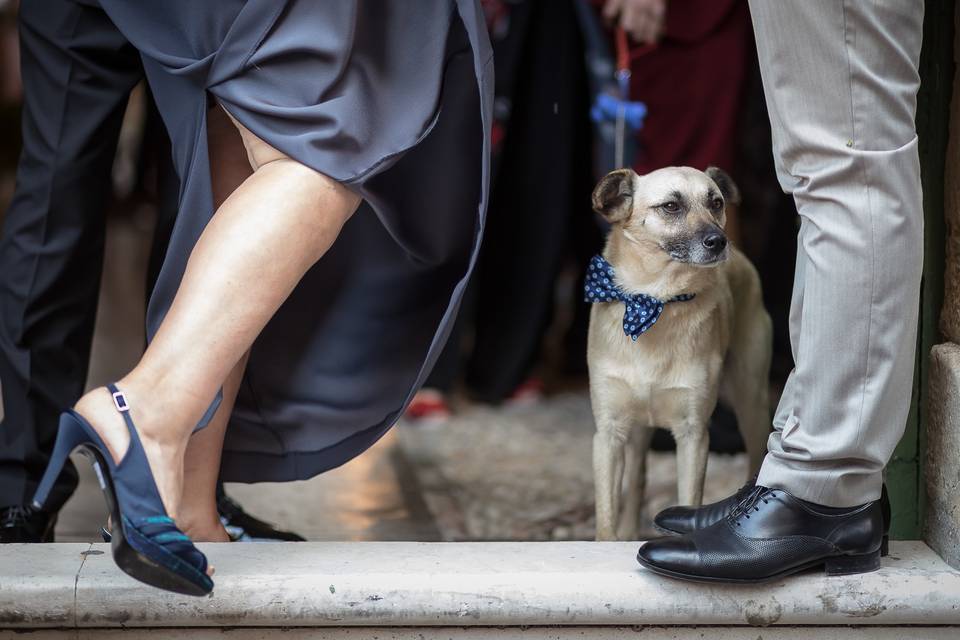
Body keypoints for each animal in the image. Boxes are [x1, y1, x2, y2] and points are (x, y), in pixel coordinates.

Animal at [584, 164, 772, 540]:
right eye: (671, 206)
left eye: (716, 202)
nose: (719, 242)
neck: (655, 301)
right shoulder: (609, 434)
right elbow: (607, 515)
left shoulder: (693, 435)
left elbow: (689, 500)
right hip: (638, 431)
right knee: (637, 479)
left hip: (753, 404)